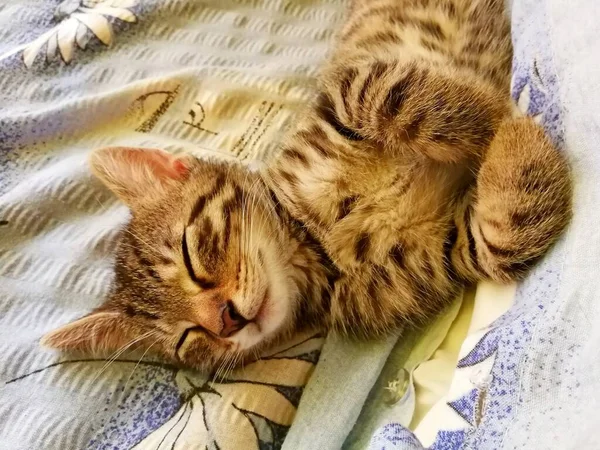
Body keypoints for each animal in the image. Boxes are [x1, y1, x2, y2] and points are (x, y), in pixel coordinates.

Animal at [41, 0, 572, 372]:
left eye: (191, 254)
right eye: (187, 338)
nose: (226, 321)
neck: (312, 241)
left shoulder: (343, 92)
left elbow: (384, 96)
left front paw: (494, 116)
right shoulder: (440, 255)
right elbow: (502, 239)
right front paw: (513, 133)